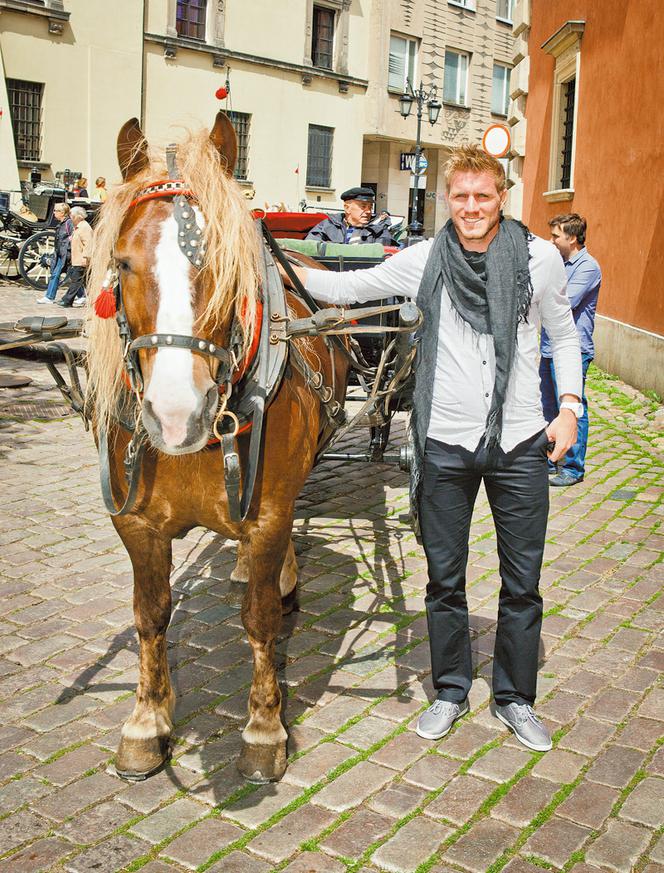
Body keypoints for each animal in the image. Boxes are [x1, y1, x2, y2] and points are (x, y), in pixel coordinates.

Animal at [85, 110, 350, 784]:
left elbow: (258, 621)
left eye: (230, 263)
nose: (177, 414)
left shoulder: (269, 512)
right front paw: (147, 722)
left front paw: (263, 729)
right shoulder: (136, 523)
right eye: (122, 263)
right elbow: (150, 614)